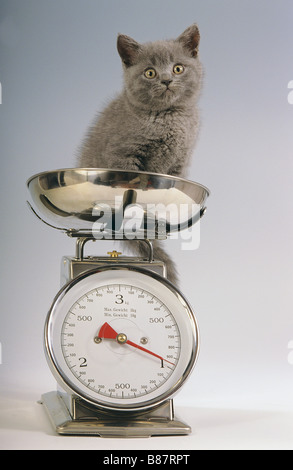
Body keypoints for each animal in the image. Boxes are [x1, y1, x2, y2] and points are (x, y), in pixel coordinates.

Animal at [77, 24, 201, 286]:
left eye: (178, 68)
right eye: (150, 73)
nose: (166, 80)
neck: (168, 117)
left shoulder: (179, 163)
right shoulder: (124, 155)